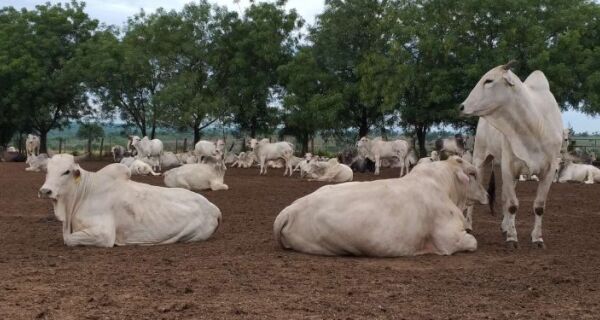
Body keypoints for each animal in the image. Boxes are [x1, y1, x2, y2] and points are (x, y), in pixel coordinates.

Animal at [37, 155, 221, 248]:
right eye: (47, 170)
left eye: (66, 171)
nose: (45, 191)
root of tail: (214, 207)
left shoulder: (104, 234)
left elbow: (68, 239)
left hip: (192, 234)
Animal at [274, 158, 490, 258]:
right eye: (473, 174)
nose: (488, 195)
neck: (447, 188)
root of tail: (292, 208)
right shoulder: (449, 240)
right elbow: (473, 242)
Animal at [460, 61, 564, 249]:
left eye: (489, 80)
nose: (462, 106)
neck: (533, 127)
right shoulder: (508, 166)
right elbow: (512, 205)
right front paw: (512, 238)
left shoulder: (550, 169)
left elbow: (539, 206)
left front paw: (537, 239)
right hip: (480, 158)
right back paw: (469, 226)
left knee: (504, 197)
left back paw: (504, 227)